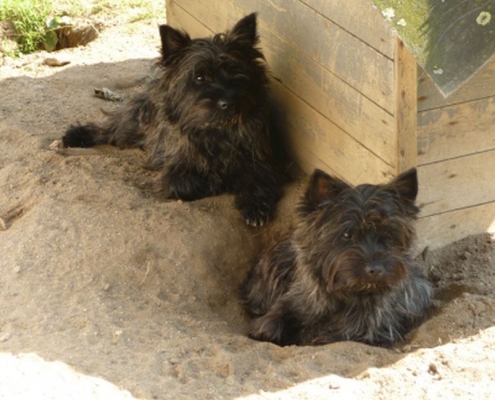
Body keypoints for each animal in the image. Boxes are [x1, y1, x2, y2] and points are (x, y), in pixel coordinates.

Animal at [63, 14, 282, 227]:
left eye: (235, 71)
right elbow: (186, 185)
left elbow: (258, 182)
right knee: (109, 127)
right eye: (199, 77)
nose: (228, 103)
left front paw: (255, 208)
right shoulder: (175, 167)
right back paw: (76, 135)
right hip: (131, 125)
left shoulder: (260, 162)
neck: (216, 132)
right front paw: (216, 180)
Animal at [244, 167, 434, 346]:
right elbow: (271, 323)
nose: (376, 269)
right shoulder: (294, 301)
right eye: (347, 234)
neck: (347, 297)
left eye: (388, 235)